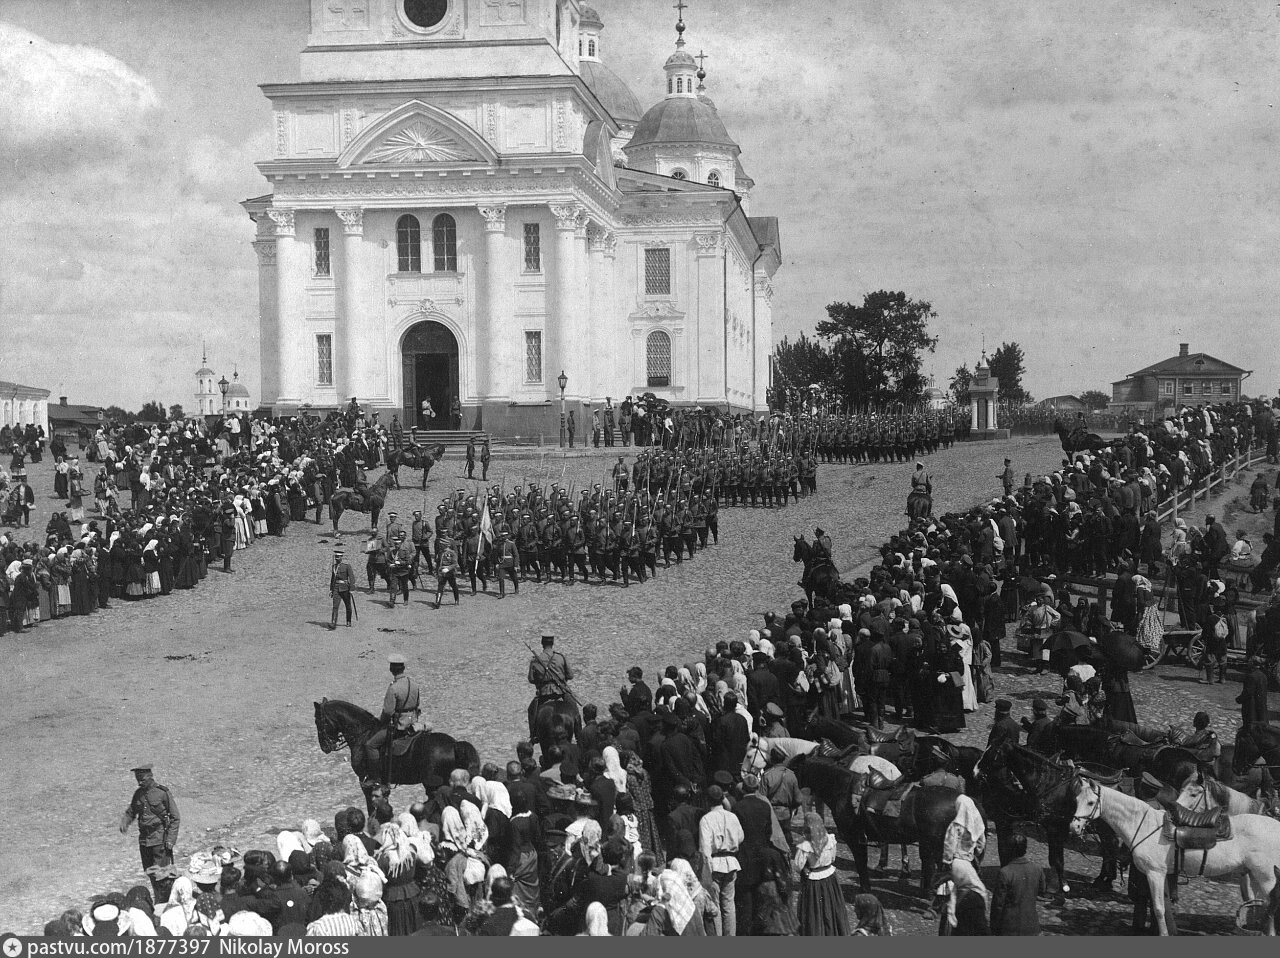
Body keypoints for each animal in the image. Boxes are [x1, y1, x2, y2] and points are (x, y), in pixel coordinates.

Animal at [313, 696, 481, 809]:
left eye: (318, 722)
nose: (324, 747)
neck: (363, 733)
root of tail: (454, 744)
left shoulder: (365, 782)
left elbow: (370, 806)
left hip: (435, 785)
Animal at [972, 742, 1116, 896]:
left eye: (994, 752)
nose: (975, 772)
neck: (1049, 783)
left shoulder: (1052, 828)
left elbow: (1056, 859)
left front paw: (1062, 887)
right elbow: (1052, 858)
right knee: (1109, 851)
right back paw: (1103, 881)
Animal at [1070, 773, 1280, 932]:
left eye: (1091, 803)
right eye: (1076, 800)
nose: (1074, 827)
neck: (1143, 824)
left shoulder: (1155, 873)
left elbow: (1158, 909)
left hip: (1267, 878)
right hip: (1255, 875)